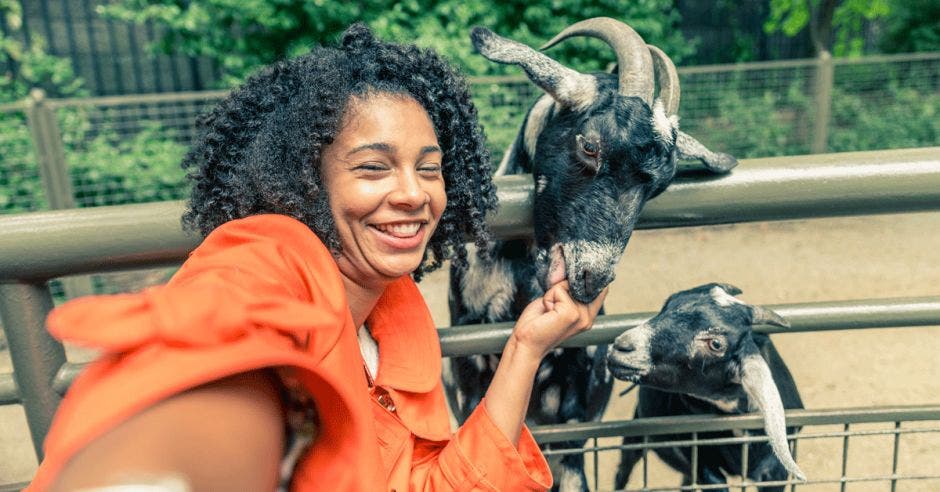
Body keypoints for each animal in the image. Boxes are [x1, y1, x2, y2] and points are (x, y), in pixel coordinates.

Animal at [608, 282, 808, 490]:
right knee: (623, 470)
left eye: (716, 344)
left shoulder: (773, 472)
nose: (622, 346)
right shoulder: (702, 464)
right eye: (668, 302)